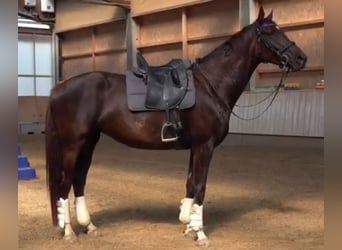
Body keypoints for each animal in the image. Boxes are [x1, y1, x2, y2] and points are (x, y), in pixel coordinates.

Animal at [46, 7, 308, 246]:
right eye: (271, 31)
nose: (301, 58)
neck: (210, 85)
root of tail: (58, 88)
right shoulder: (205, 146)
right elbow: (200, 187)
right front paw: (200, 234)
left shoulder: (196, 147)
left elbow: (191, 183)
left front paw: (189, 226)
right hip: (73, 144)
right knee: (64, 183)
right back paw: (68, 232)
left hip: (89, 142)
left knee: (79, 180)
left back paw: (89, 226)